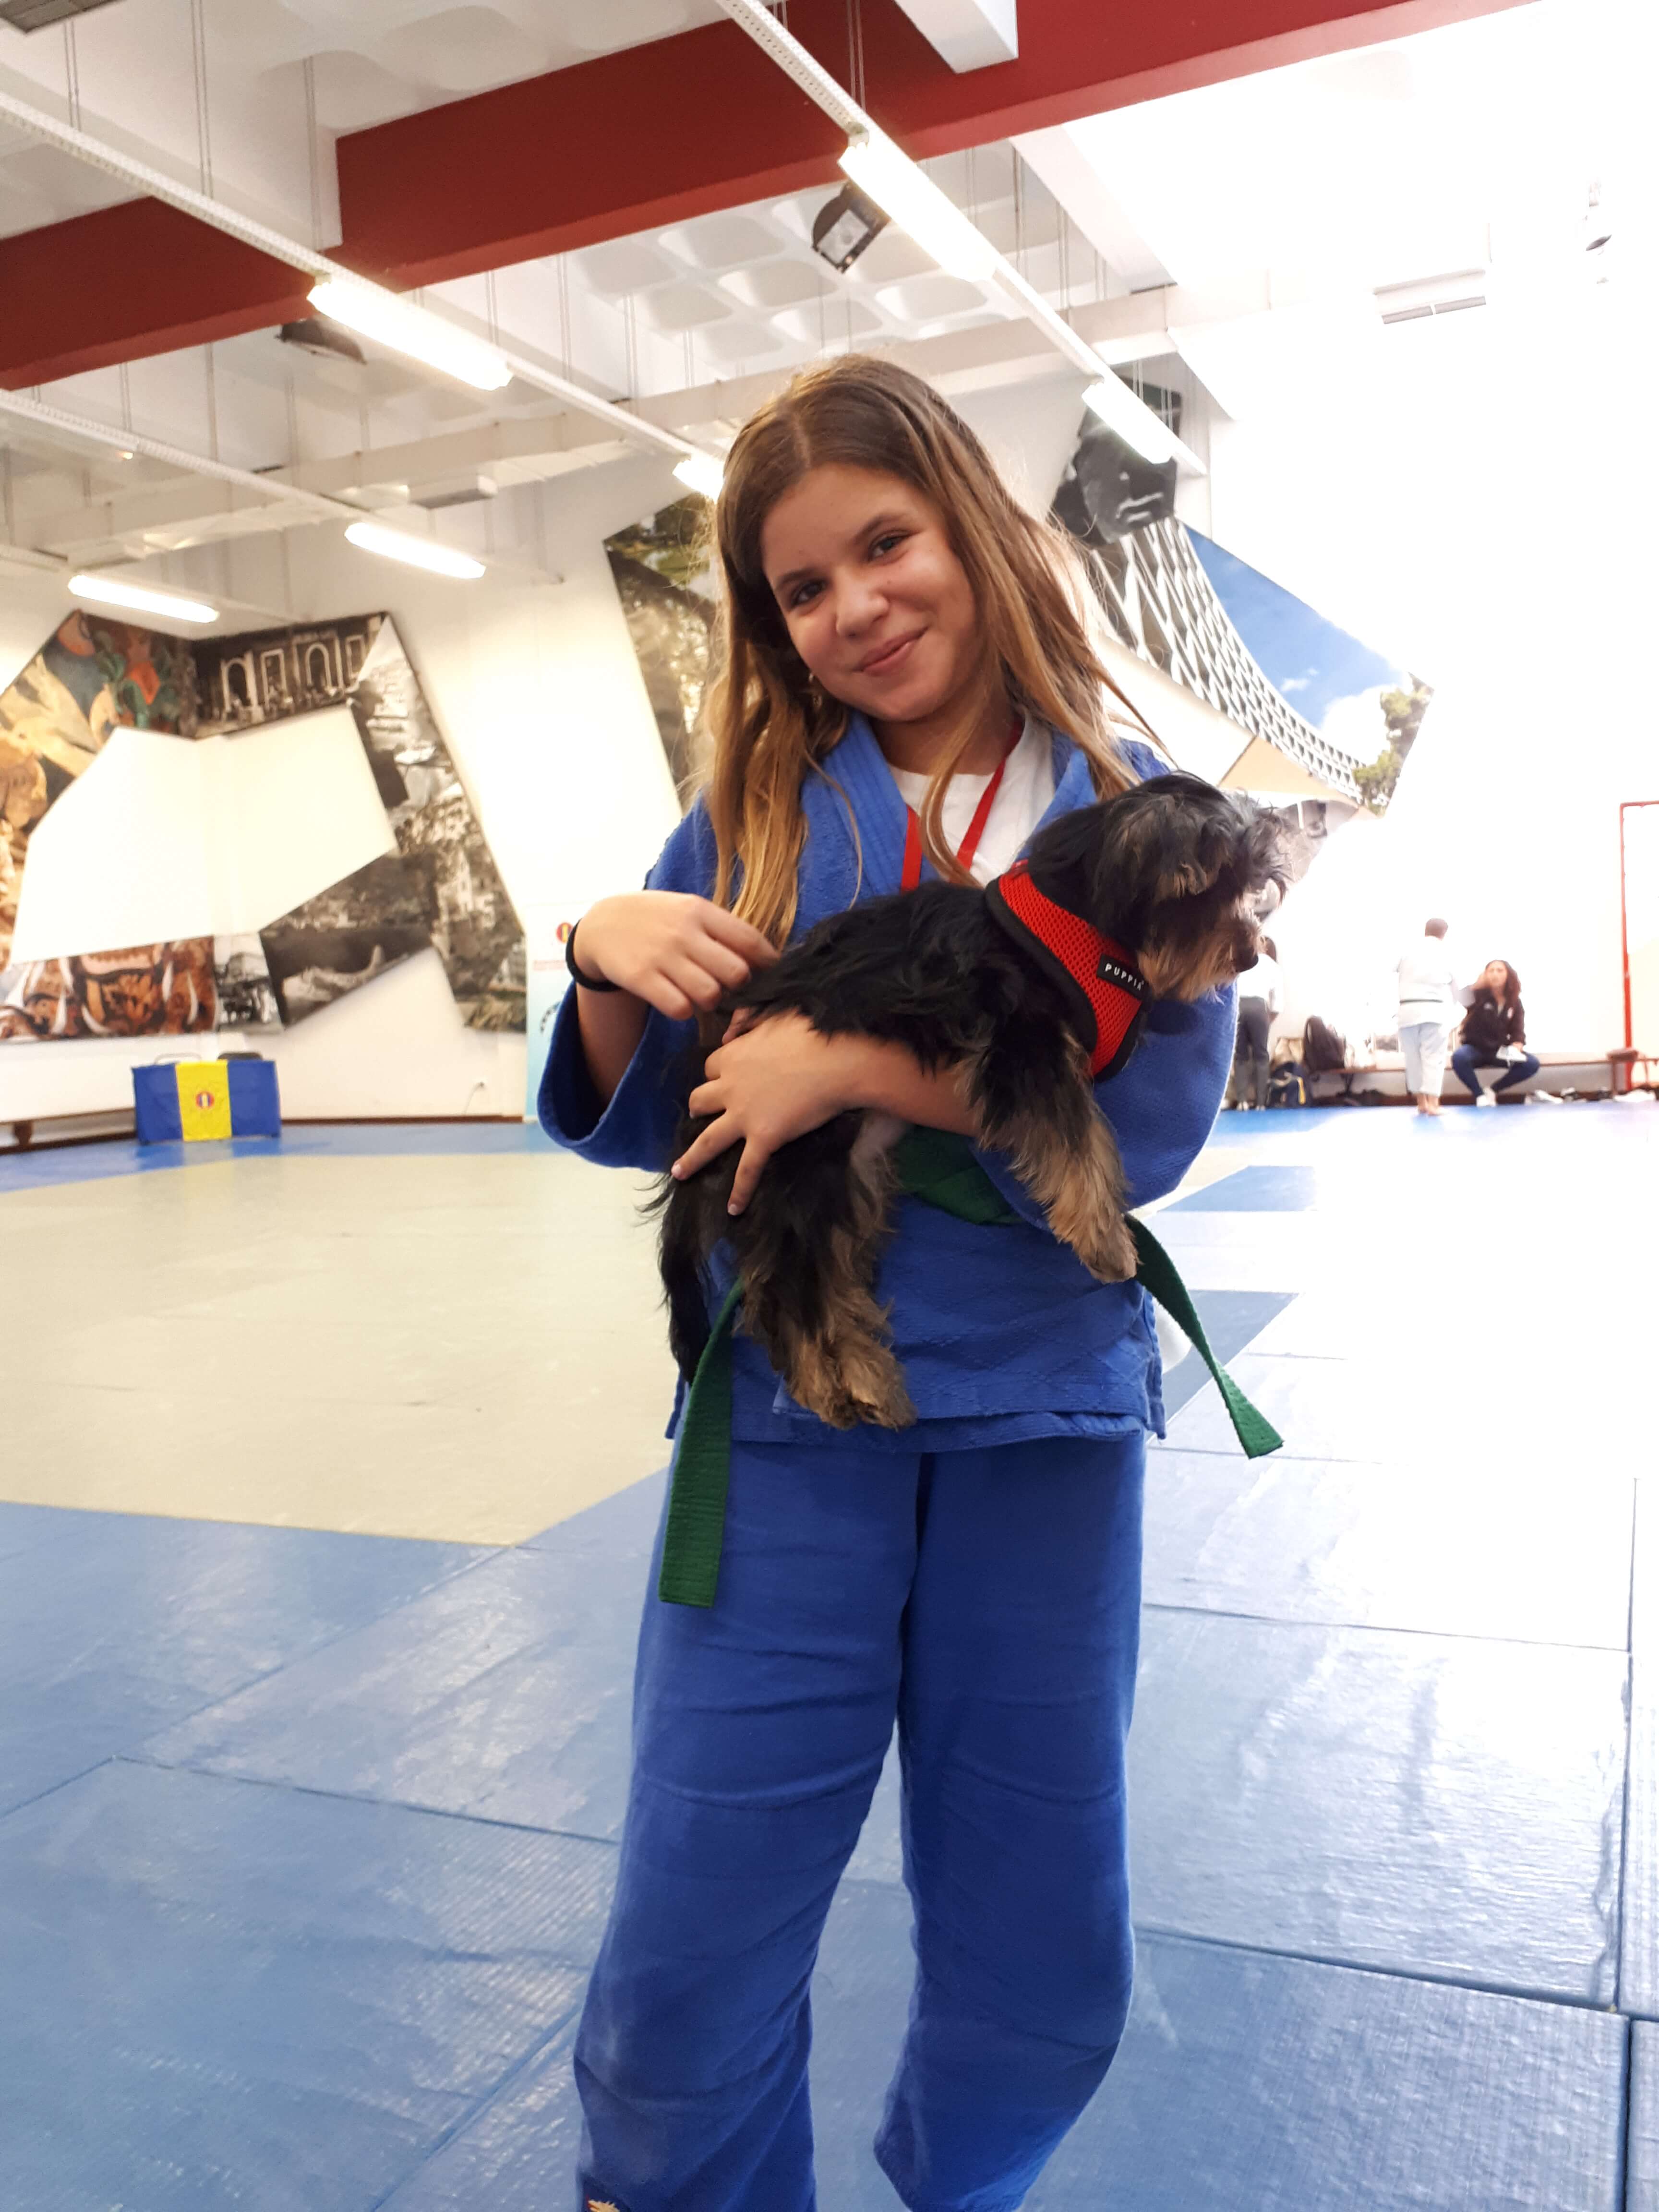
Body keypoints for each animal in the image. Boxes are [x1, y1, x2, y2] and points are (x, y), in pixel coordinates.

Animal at [659, 772, 1285, 1430]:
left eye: (1251, 889)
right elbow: (1080, 1137)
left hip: (846, 1175)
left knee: (826, 1279)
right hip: (796, 1160)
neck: (1083, 917)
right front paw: (1105, 1238)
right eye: (1210, 889)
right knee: (789, 1292)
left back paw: (861, 1377)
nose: (1250, 953)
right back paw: (831, 1388)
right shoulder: (1026, 1046)